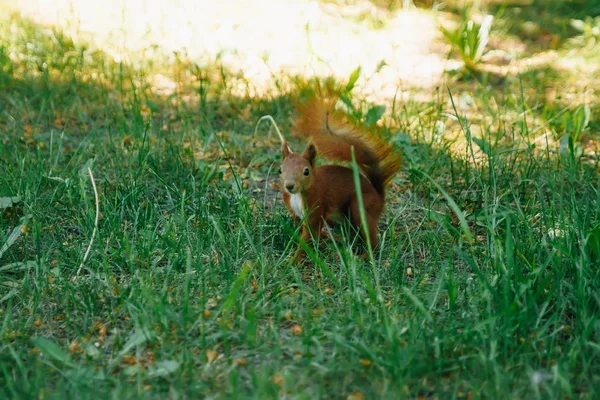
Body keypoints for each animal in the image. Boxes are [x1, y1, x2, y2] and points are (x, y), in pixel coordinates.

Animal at [278, 95, 400, 260]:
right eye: (280, 170)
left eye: (306, 171)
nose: (289, 186)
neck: (297, 194)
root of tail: (379, 197)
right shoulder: (295, 213)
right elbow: (300, 230)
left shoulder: (315, 206)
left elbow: (309, 234)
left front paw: (294, 260)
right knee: (353, 234)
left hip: (361, 205)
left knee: (370, 238)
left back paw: (364, 256)